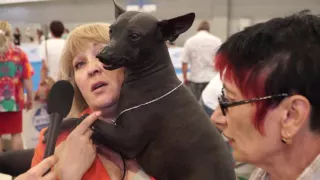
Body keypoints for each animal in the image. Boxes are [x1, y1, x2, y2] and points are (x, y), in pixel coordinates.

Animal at [84, 0, 235, 179]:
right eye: (111, 30)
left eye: (134, 36)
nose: (102, 55)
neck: (151, 76)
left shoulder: (126, 140)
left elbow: (85, 120)